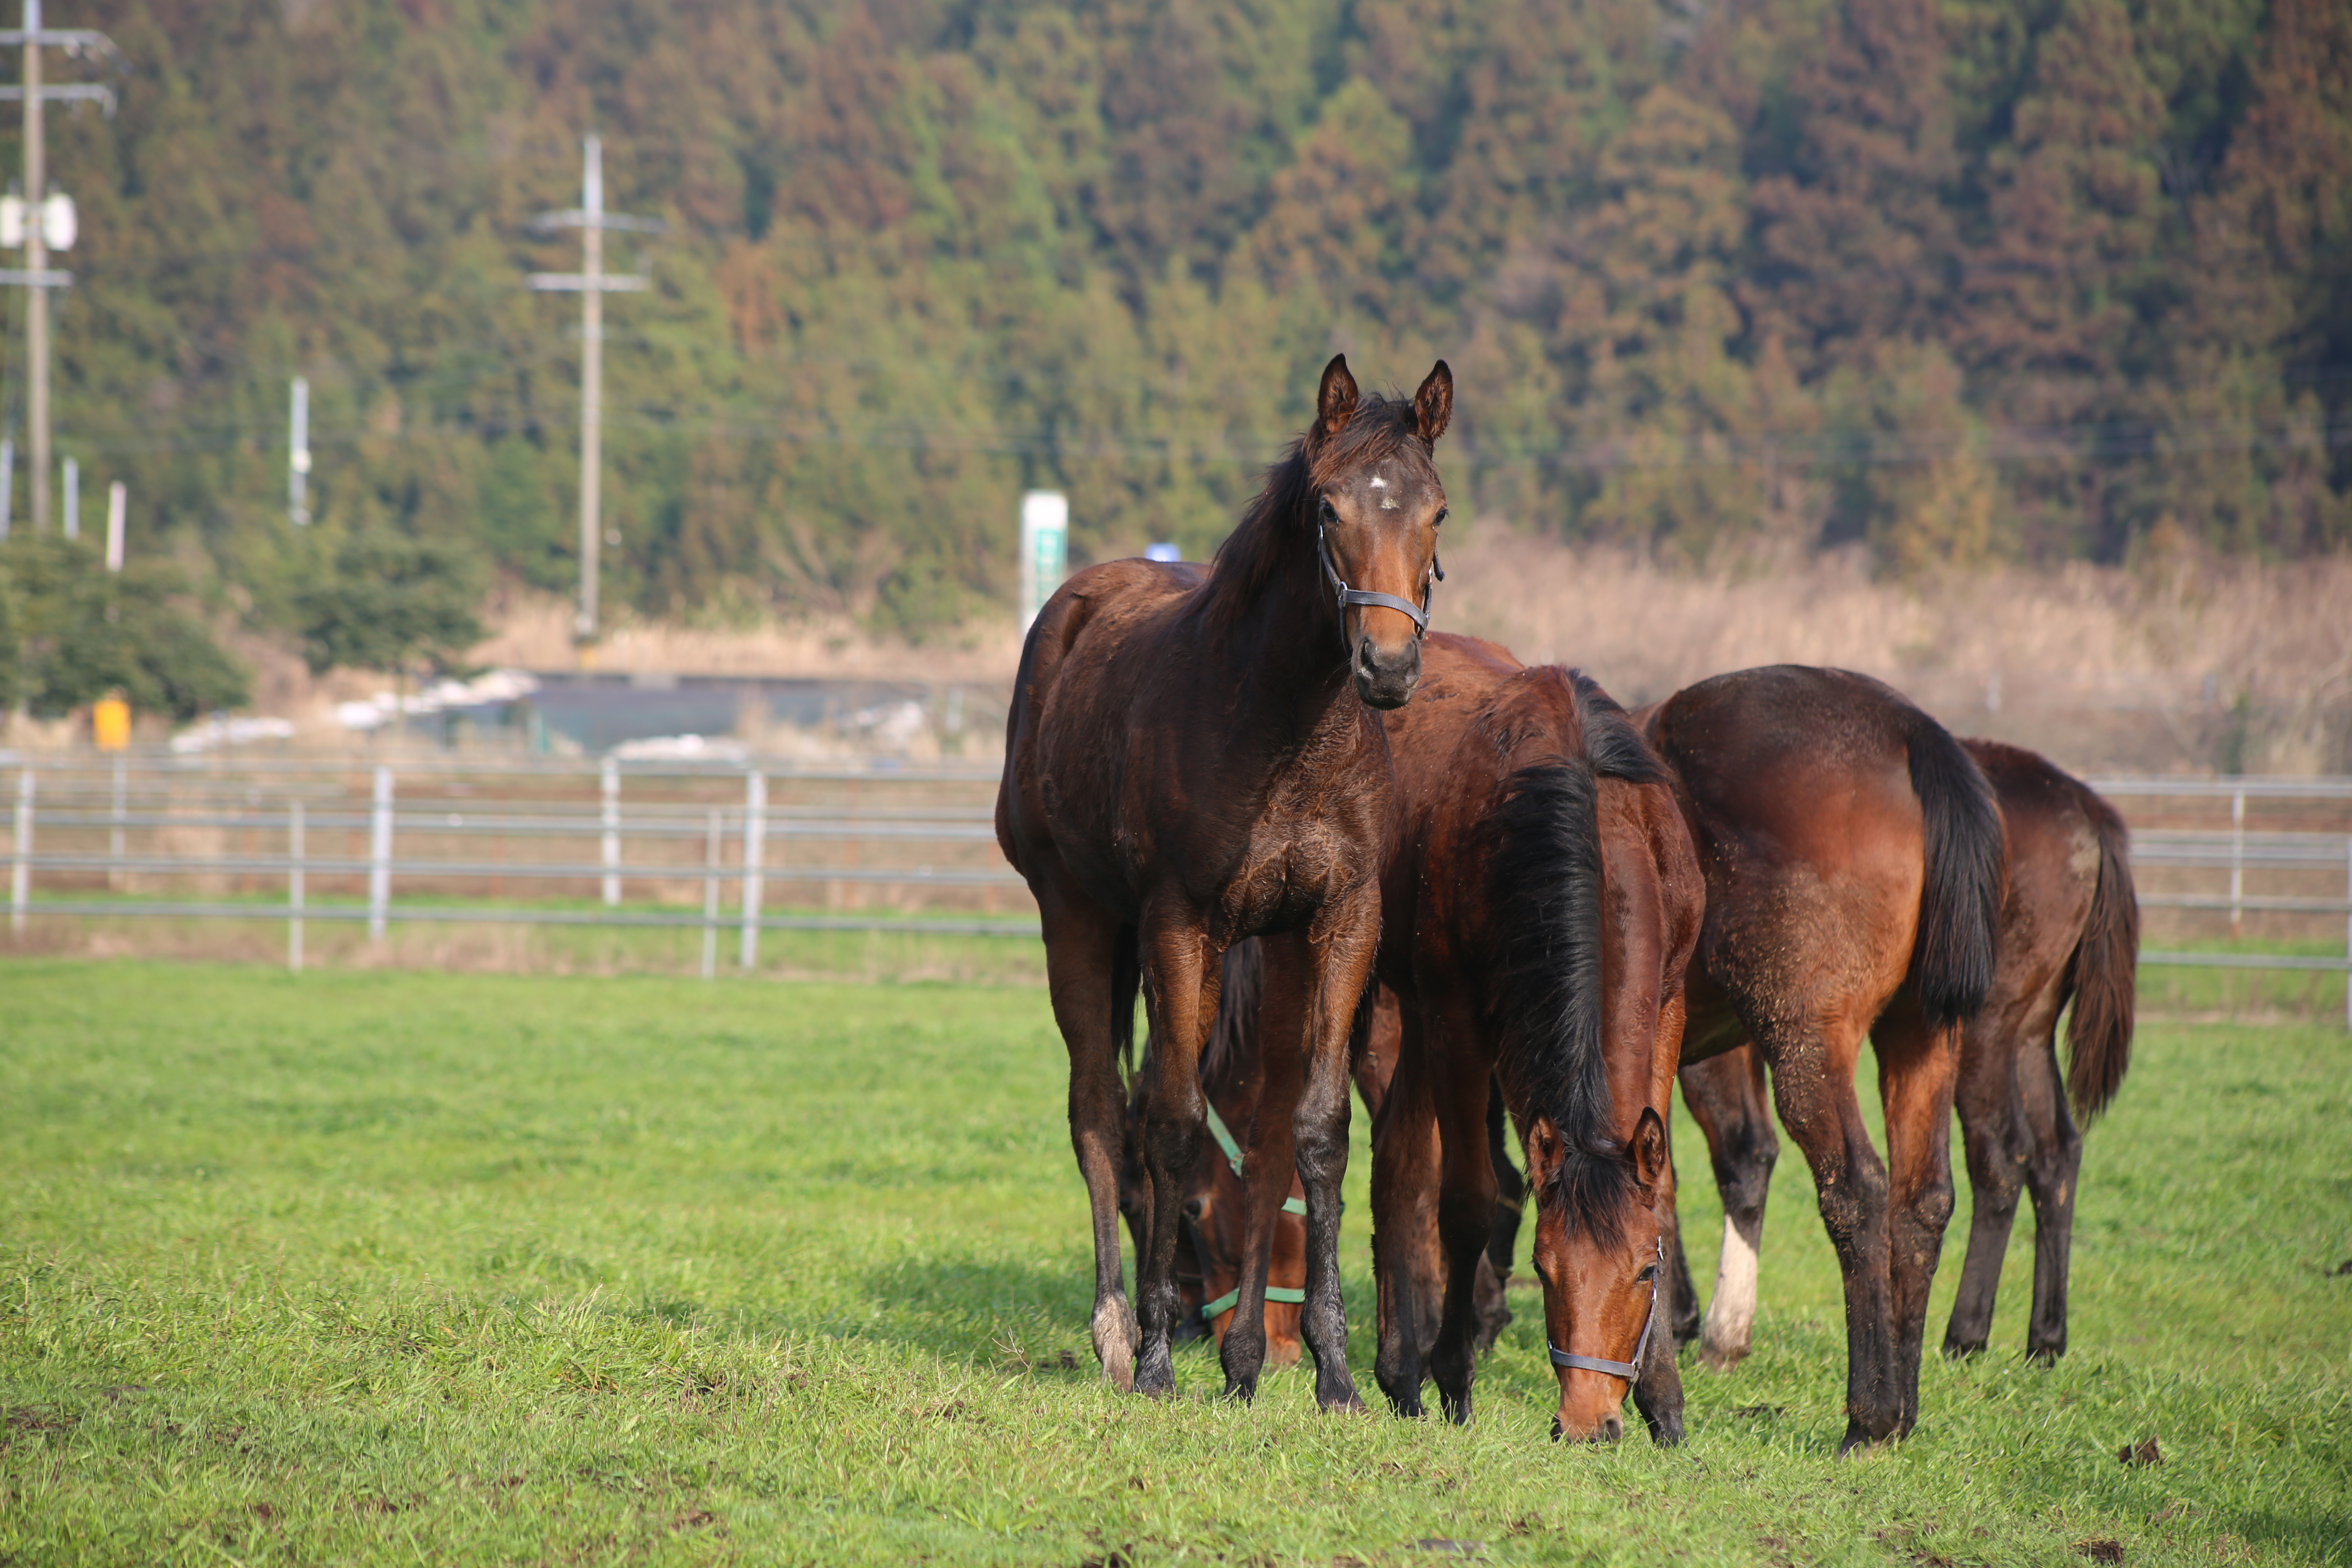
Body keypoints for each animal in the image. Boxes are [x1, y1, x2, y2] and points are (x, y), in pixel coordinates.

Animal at [1007, 359, 1458, 1410]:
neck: (1282, 727)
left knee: (1243, 1127)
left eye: (1437, 511)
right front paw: (1161, 1360)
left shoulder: (1338, 921)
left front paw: (1332, 1373)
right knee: (1102, 1109)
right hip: (1078, 917)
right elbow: (1172, 1126)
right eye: (1329, 507)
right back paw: (1116, 1330)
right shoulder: (1178, 924)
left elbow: (1312, 1133)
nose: (1388, 667)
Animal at [1665, 738, 2145, 1363]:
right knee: (2055, 1154)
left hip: (1983, 1031)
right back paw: (2045, 1339)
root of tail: (2085, 806)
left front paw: (1692, 1322)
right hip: (2028, 1035)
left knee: (2000, 1156)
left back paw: (1965, 1334)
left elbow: (1730, 1153)